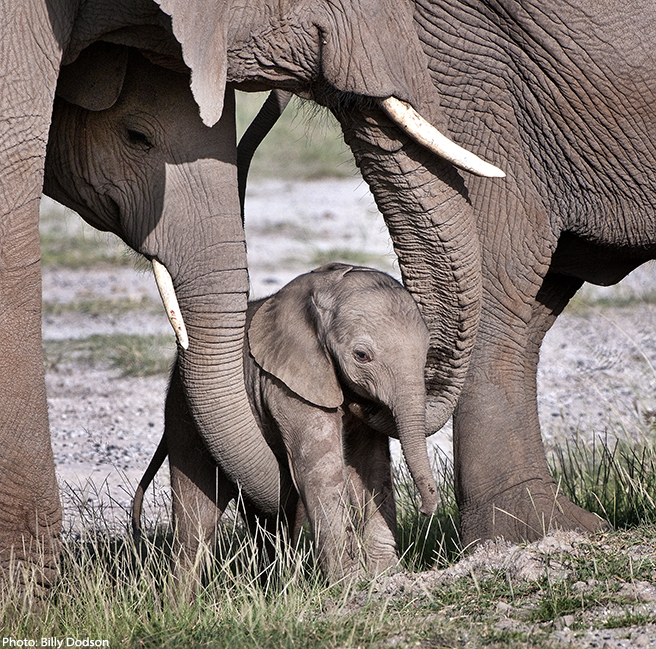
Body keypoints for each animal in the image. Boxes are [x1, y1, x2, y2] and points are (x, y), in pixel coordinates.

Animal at [133, 262, 436, 576]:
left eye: (428, 352)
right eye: (361, 355)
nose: (425, 510)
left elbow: (372, 465)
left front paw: (386, 574)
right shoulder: (287, 386)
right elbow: (318, 471)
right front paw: (352, 581)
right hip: (185, 416)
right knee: (196, 517)